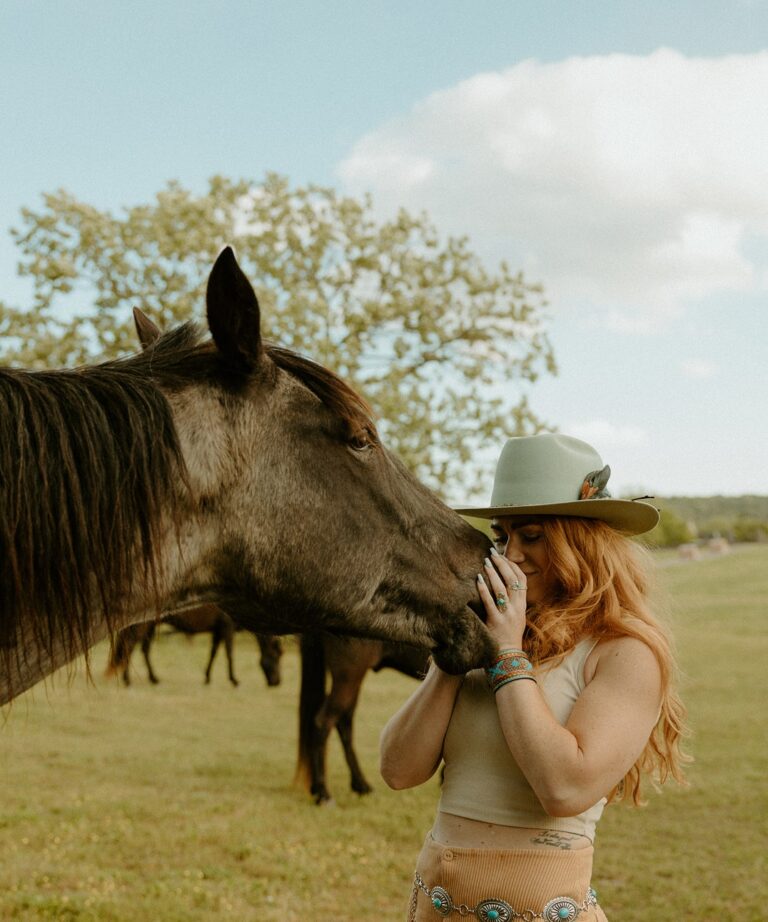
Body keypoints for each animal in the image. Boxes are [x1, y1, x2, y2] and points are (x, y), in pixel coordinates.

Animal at [106, 605, 283, 688]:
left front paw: (207, 677)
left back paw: (153, 678)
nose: (276, 682)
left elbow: (213, 653)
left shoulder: (217, 631)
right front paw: (234, 680)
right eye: (276, 656)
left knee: (144, 650)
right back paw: (128, 680)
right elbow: (229, 653)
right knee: (130, 647)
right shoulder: (227, 628)